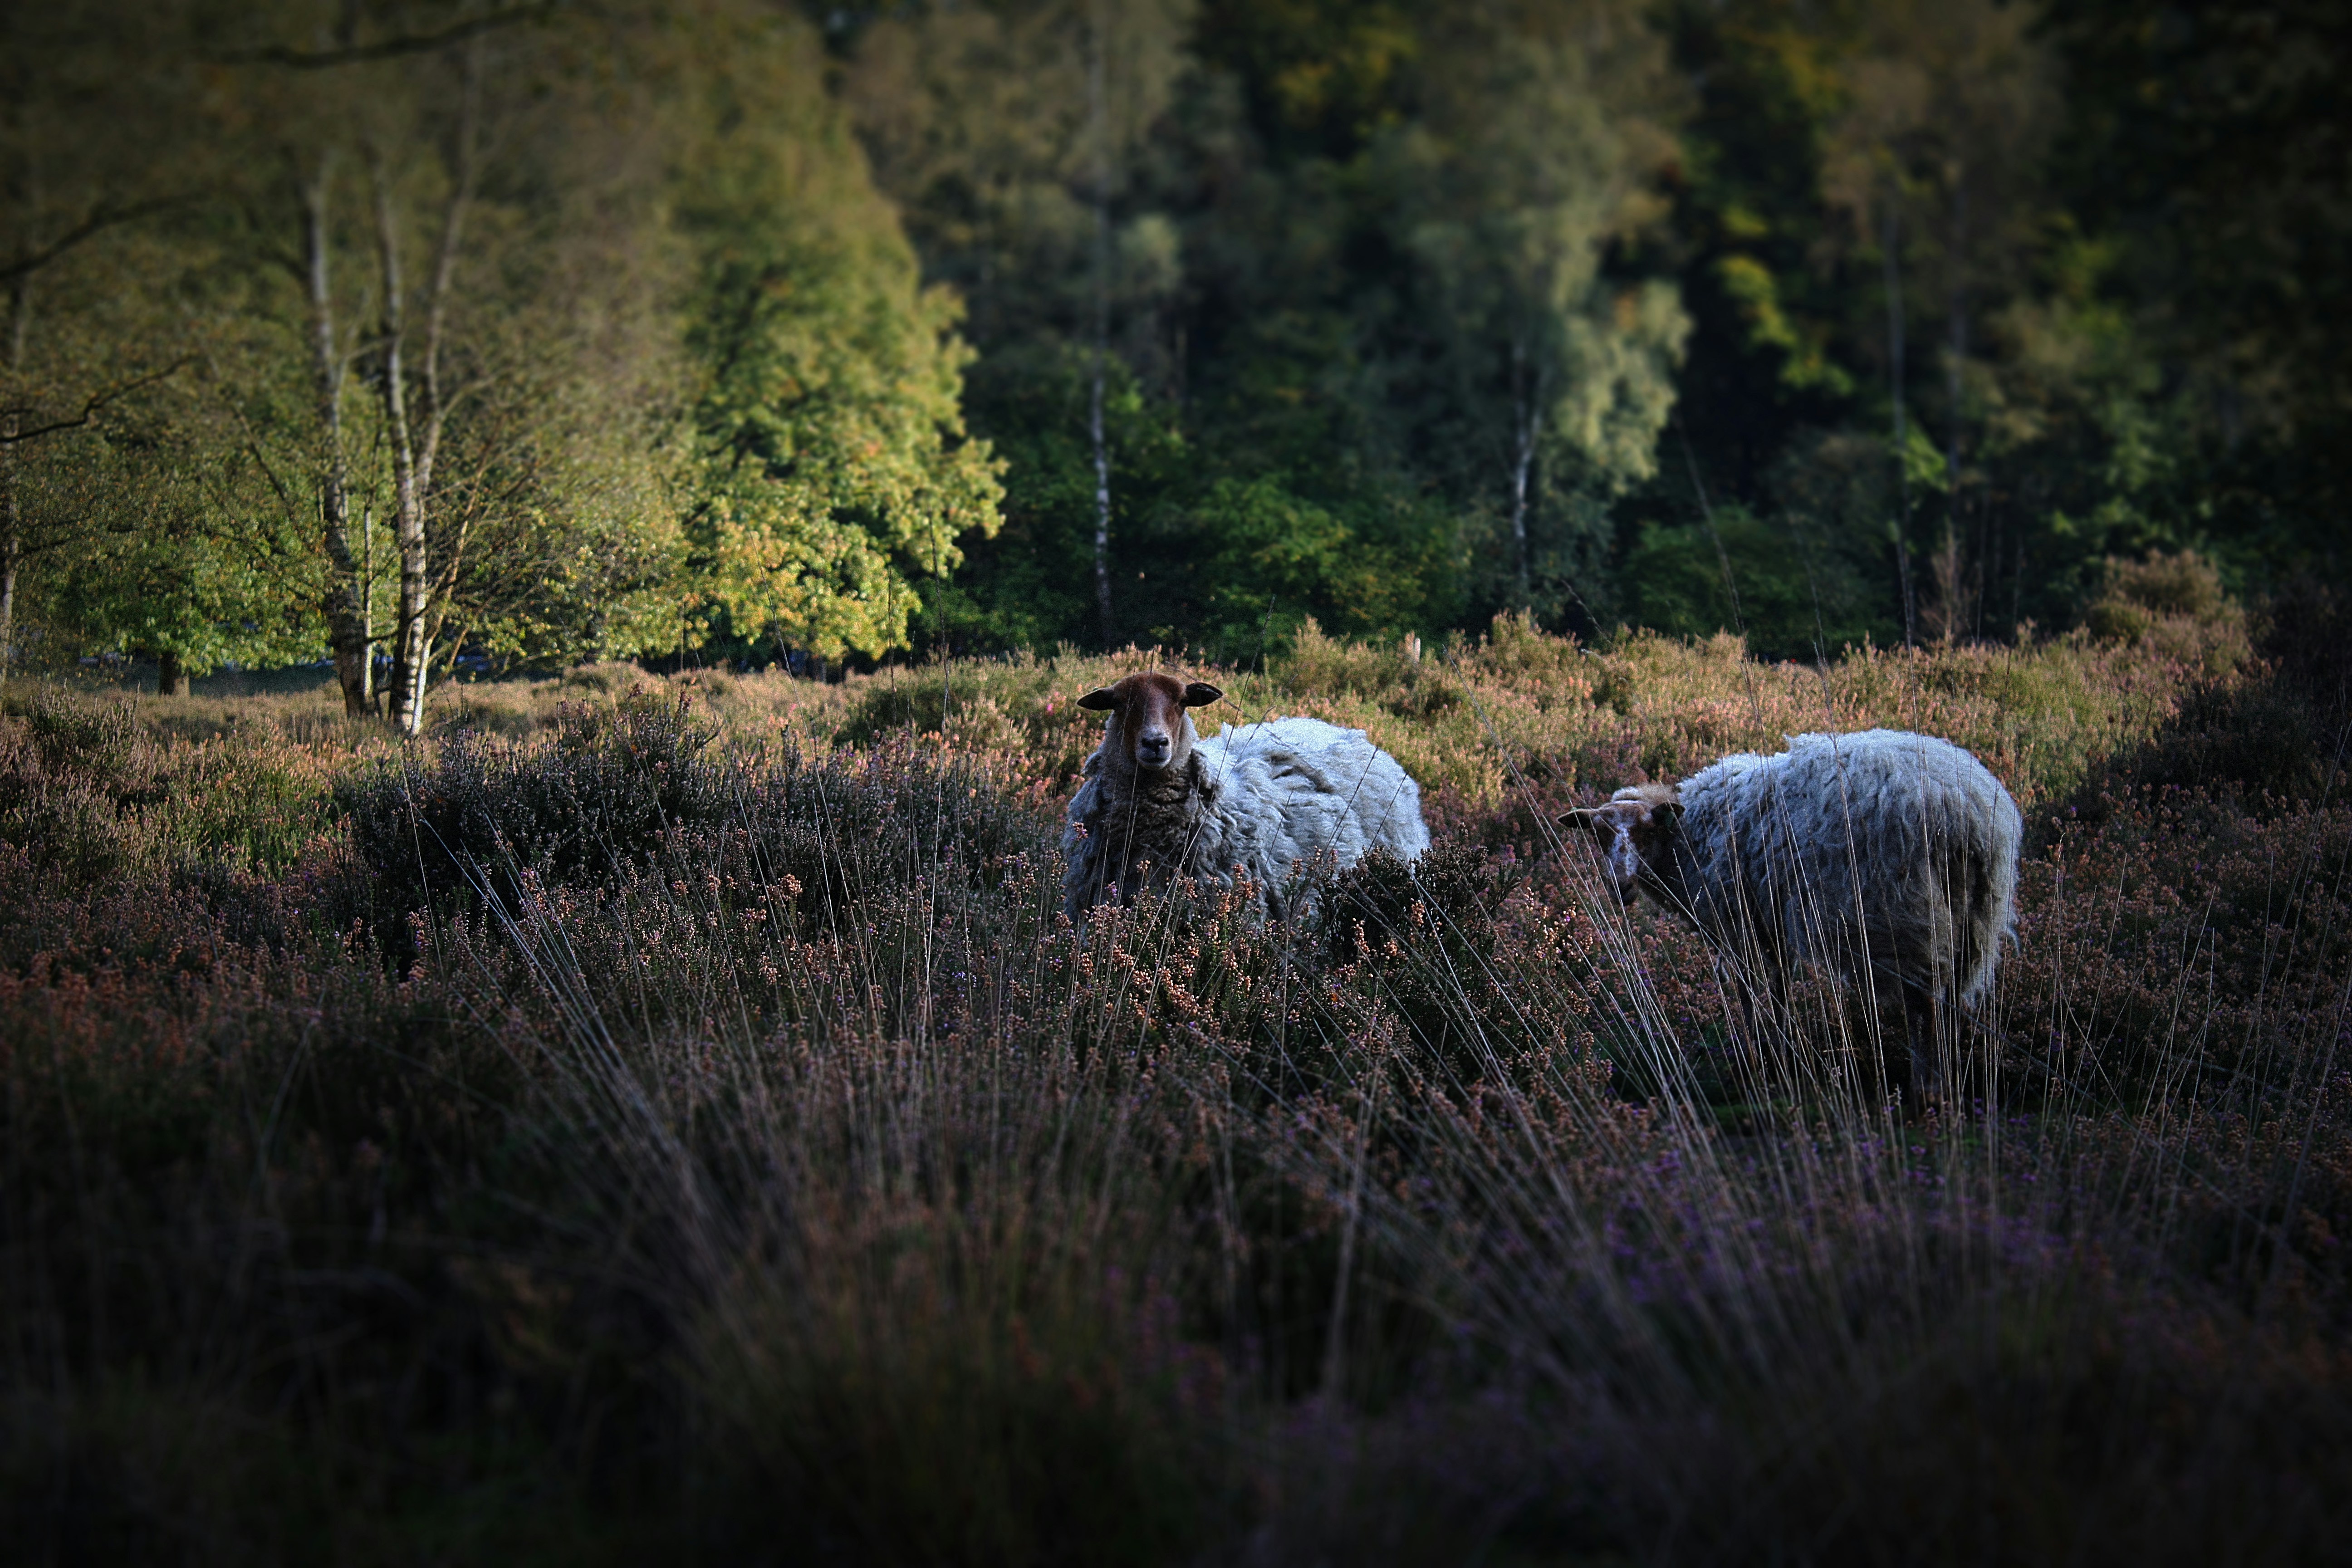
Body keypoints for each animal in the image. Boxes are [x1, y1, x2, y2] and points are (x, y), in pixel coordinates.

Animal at [1564, 729, 2023, 1099]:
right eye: (1599, 835)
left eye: (1644, 833)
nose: (1619, 888)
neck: (1686, 839)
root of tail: (1964, 809)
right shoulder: (1771, 923)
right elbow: (1782, 987)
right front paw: (1783, 1057)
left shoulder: (1737, 924)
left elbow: (1749, 992)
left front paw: (1756, 1063)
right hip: (1974, 917)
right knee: (1951, 1001)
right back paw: (1949, 1081)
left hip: (1903, 916)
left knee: (1923, 1004)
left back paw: (1927, 1091)